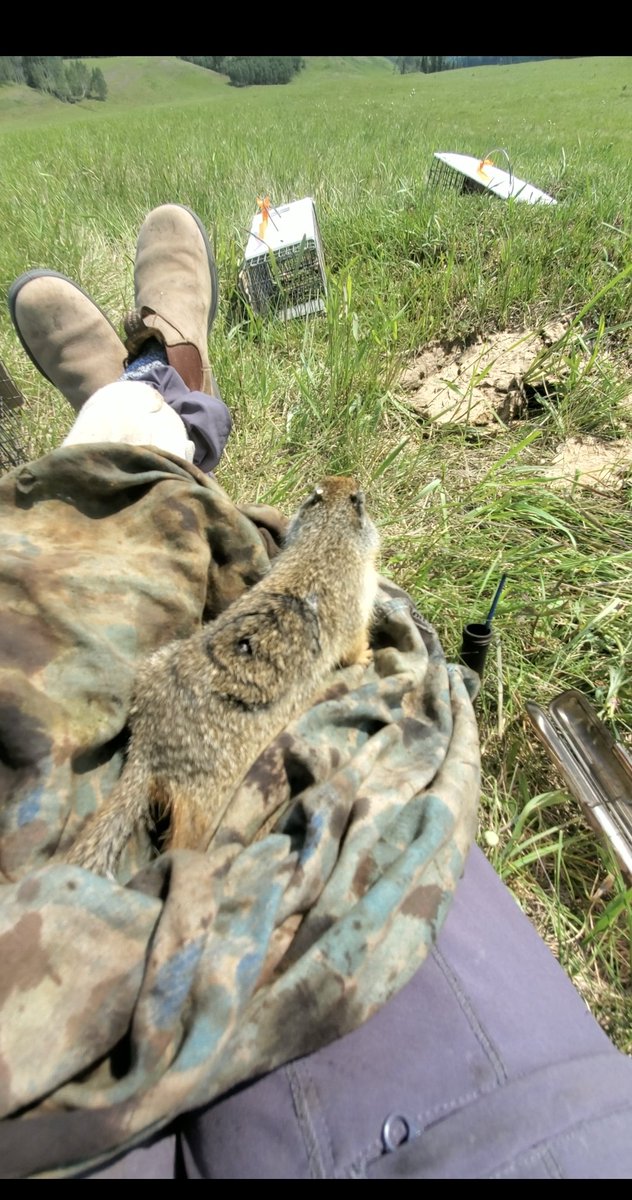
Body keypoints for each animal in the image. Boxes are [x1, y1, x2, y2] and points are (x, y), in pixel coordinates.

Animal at [66, 476, 380, 877]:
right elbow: (354, 641)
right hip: (207, 793)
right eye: (360, 499)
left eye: (322, 492)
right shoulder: (359, 597)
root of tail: (148, 747)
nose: (346, 479)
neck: (326, 539)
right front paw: (367, 654)